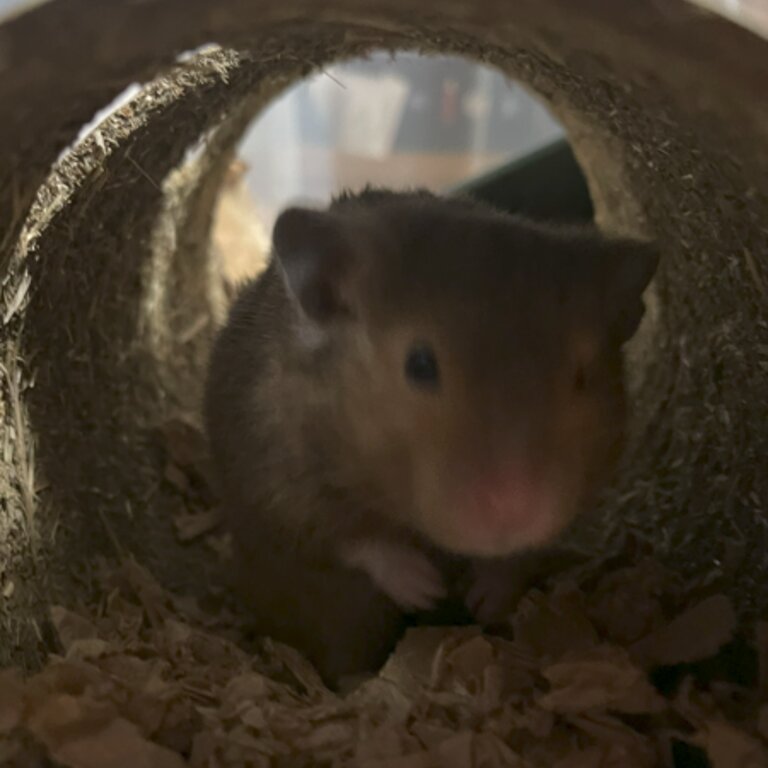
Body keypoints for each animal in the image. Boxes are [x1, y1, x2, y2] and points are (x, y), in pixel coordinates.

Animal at [206, 188, 660, 684]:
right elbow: (353, 539)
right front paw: (425, 587)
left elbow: (518, 558)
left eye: (582, 376)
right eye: (419, 365)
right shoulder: (278, 483)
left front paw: (485, 596)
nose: (516, 513)